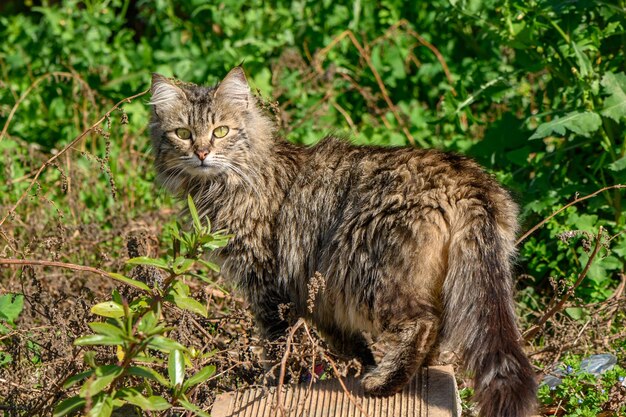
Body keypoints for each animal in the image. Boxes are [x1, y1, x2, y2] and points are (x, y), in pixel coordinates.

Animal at [149, 66, 532, 414]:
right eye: (183, 133)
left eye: (221, 131)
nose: (201, 153)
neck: (222, 185)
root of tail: (463, 176)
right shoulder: (314, 295)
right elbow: (347, 343)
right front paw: (356, 364)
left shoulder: (267, 283)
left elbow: (276, 345)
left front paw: (274, 384)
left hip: (368, 270)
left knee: (424, 323)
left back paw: (384, 382)